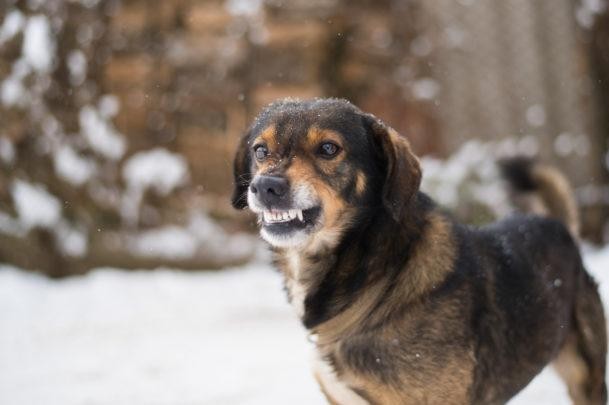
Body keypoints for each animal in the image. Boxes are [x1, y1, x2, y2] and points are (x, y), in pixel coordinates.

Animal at [230, 98, 604, 404]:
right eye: (261, 151)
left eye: (328, 148)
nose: (265, 186)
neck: (378, 278)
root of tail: (555, 225)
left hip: (585, 376)